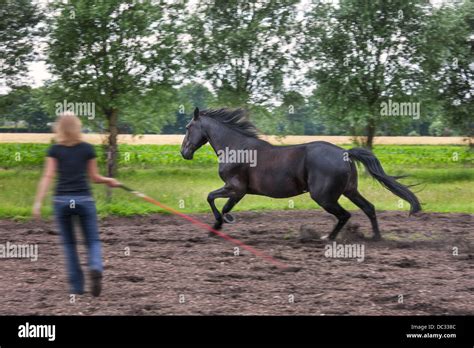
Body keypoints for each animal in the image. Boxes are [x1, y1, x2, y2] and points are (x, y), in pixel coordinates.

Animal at [180, 107, 420, 241]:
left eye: (188, 127)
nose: (184, 153)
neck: (236, 147)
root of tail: (345, 153)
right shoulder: (239, 191)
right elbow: (222, 205)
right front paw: (218, 227)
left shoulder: (235, 188)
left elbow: (212, 199)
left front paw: (217, 225)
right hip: (349, 191)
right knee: (368, 208)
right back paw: (376, 237)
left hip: (324, 196)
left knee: (345, 215)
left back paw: (327, 237)